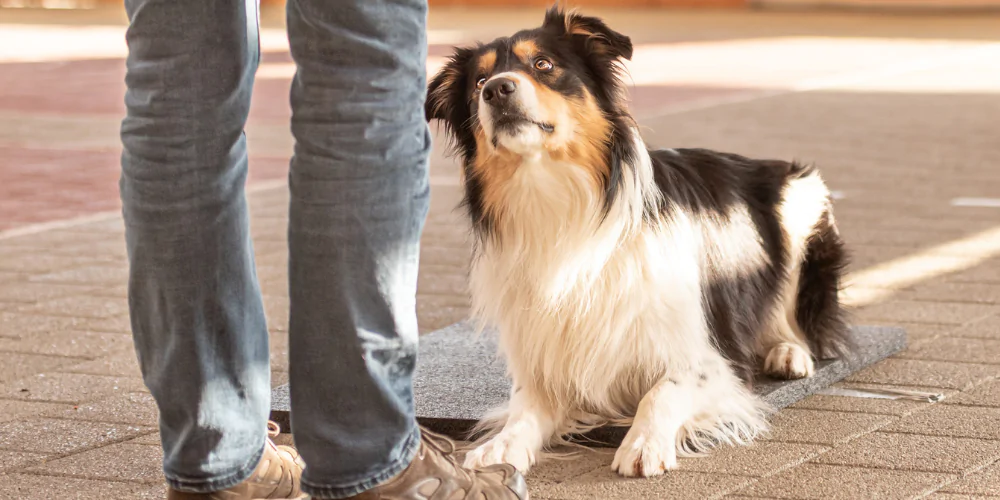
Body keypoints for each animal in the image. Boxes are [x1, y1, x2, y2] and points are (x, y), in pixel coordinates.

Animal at [426, 6, 856, 476]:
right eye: (479, 82)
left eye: (543, 64)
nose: (497, 90)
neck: (556, 200)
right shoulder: (546, 362)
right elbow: (524, 408)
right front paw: (502, 445)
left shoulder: (708, 359)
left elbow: (661, 391)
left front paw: (644, 442)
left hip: (802, 203)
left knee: (799, 318)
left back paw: (789, 352)